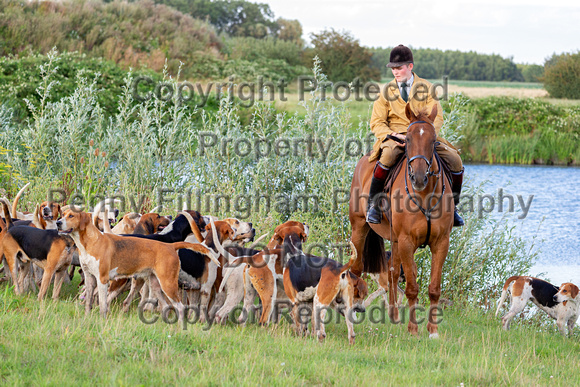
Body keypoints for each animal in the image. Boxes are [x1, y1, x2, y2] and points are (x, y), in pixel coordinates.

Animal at [346, 104, 456, 338]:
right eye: (409, 140)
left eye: (433, 140)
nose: (419, 178)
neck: (424, 194)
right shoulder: (407, 241)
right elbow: (412, 288)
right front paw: (413, 329)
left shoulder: (441, 242)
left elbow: (434, 288)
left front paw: (432, 330)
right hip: (360, 229)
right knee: (356, 269)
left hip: (395, 240)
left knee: (392, 274)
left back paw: (394, 315)